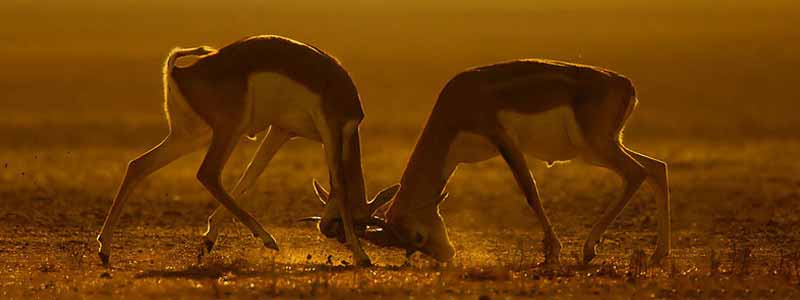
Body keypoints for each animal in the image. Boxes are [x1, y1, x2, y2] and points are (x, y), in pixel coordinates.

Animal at [96, 35, 400, 268]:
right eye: (360, 225)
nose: (327, 231)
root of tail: (181, 72)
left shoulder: (281, 131)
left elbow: (249, 177)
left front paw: (208, 239)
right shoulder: (331, 129)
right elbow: (340, 185)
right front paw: (362, 257)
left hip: (191, 136)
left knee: (139, 165)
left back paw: (104, 250)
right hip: (228, 130)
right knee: (207, 173)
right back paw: (268, 239)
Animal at [342, 59, 668, 266]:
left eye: (417, 236)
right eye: (407, 248)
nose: (448, 255)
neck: (456, 104)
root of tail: (626, 85)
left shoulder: (503, 138)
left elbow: (530, 191)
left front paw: (553, 252)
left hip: (596, 147)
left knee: (637, 172)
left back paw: (590, 250)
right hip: (599, 149)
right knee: (657, 168)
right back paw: (657, 255)